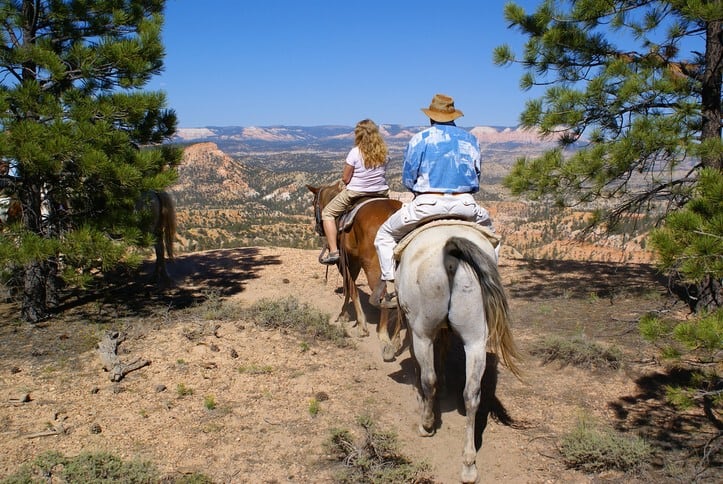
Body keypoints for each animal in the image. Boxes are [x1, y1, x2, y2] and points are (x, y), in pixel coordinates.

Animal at [306, 182, 404, 364]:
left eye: (313, 202)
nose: (317, 228)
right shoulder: (355, 262)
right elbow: (350, 288)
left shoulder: (346, 262)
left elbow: (350, 288)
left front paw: (357, 323)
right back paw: (396, 340)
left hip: (374, 268)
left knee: (384, 297)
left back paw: (385, 340)